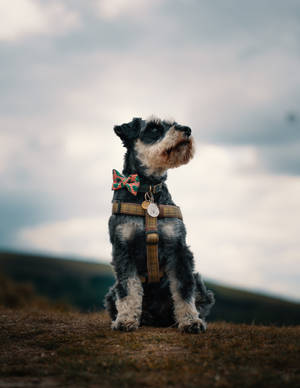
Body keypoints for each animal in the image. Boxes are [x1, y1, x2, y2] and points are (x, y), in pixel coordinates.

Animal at [104, 116, 214, 332]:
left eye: (173, 123)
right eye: (154, 128)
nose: (187, 130)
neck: (147, 190)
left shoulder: (178, 247)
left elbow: (183, 288)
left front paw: (191, 321)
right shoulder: (123, 248)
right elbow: (128, 287)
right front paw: (126, 319)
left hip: (200, 284)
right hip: (111, 292)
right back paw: (143, 317)